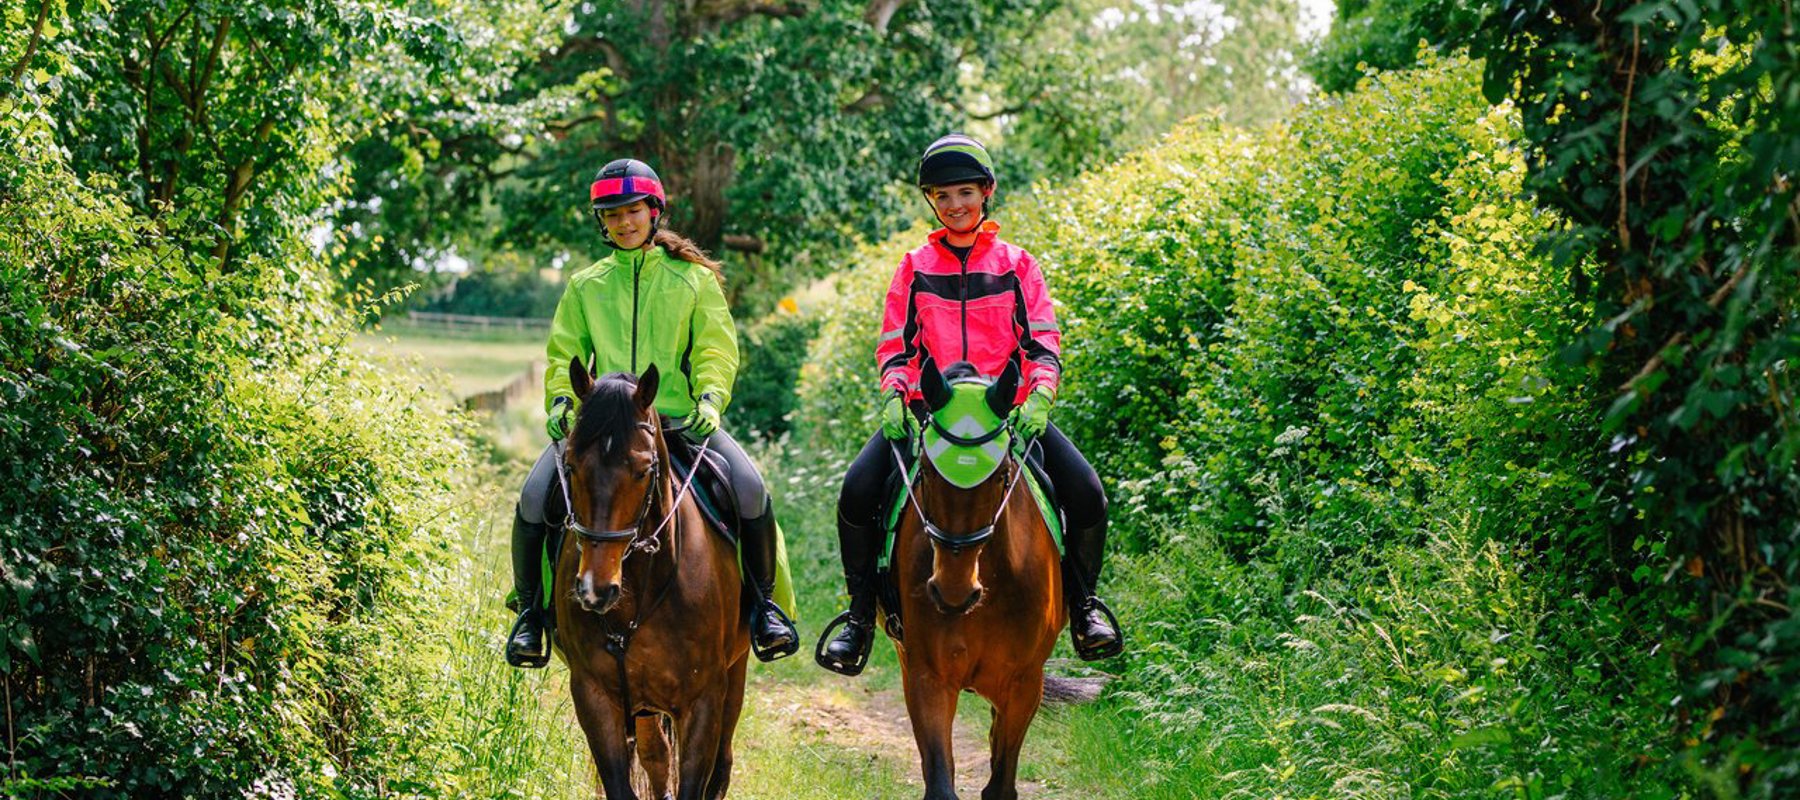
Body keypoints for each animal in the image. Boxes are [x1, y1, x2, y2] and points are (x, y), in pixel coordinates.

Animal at [551, 360, 749, 800]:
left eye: (643, 470)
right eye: (570, 466)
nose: (595, 589)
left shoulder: (702, 701)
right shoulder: (593, 696)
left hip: (736, 673)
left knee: (721, 765)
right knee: (656, 756)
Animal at [889, 358, 1067, 800]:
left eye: (1002, 473)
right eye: (925, 472)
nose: (953, 592)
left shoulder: (1024, 683)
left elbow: (1001, 783)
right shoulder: (928, 676)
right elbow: (940, 780)